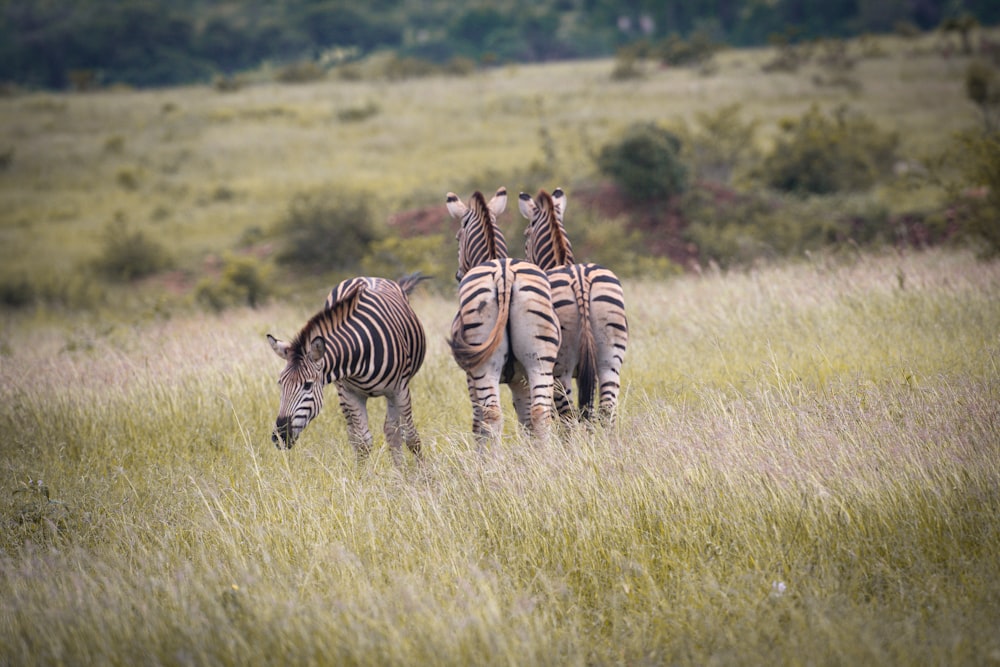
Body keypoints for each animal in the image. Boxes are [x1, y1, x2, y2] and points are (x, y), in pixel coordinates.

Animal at [266, 274, 426, 468]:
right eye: (280, 384)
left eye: (307, 386)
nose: (280, 437)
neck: (361, 349)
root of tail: (367, 276)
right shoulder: (351, 393)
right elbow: (363, 443)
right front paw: (361, 475)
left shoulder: (399, 389)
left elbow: (411, 438)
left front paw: (424, 474)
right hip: (342, 393)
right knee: (358, 434)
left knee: (392, 431)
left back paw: (401, 470)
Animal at [446, 189, 564, 444]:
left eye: (458, 238)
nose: (458, 275)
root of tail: (504, 273)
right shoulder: (520, 379)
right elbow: (526, 418)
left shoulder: (470, 377)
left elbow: (478, 421)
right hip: (539, 358)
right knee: (540, 413)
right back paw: (546, 455)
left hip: (484, 365)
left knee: (491, 415)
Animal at [520, 188, 628, 428]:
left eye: (526, 235)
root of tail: (581, 281)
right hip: (610, 358)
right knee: (606, 410)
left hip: (561, 368)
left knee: (568, 417)